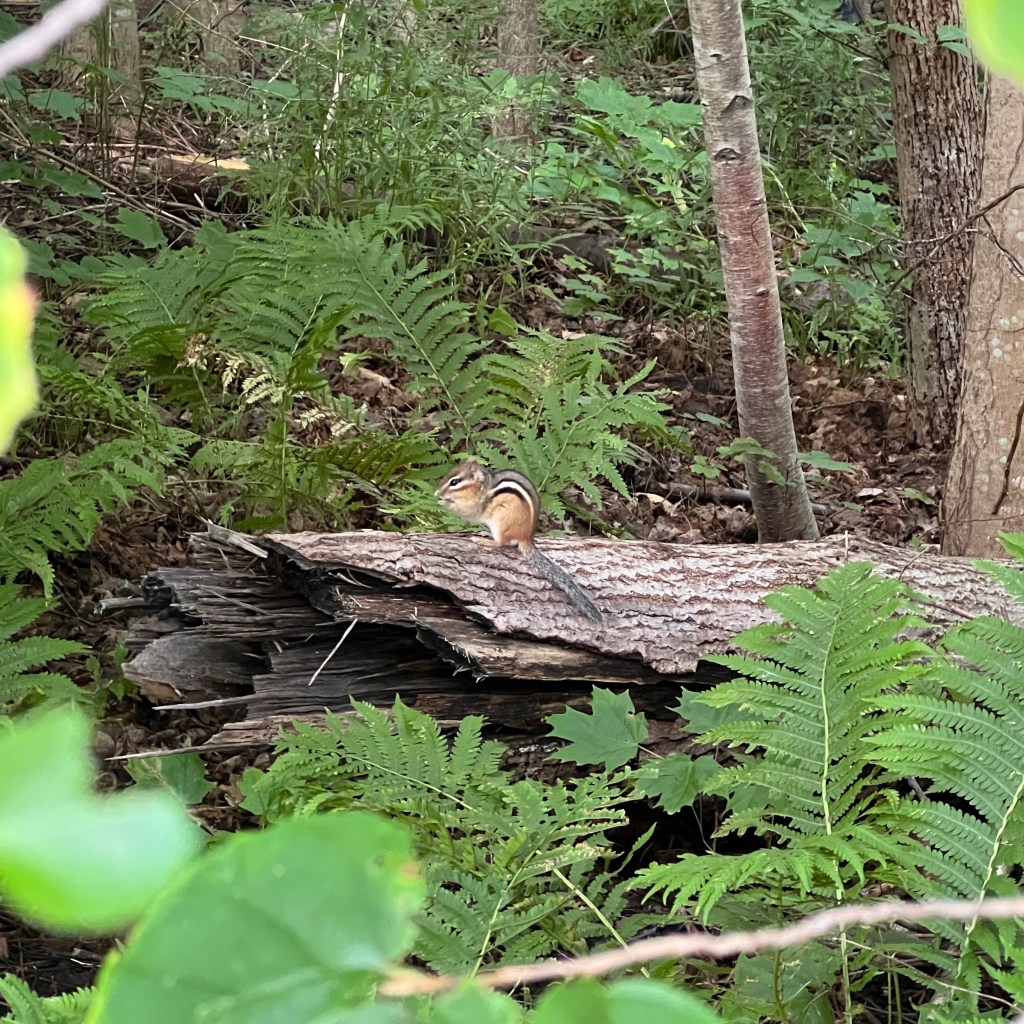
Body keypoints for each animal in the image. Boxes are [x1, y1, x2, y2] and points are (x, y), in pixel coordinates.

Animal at [435, 458, 604, 623]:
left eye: (454, 482)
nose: (437, 492)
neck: (482, 486)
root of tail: (527, 538)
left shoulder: (477, 504)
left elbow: (467, 511)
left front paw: (445, 502)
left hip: (501, 522)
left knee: (502, 542)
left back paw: (485, 540)